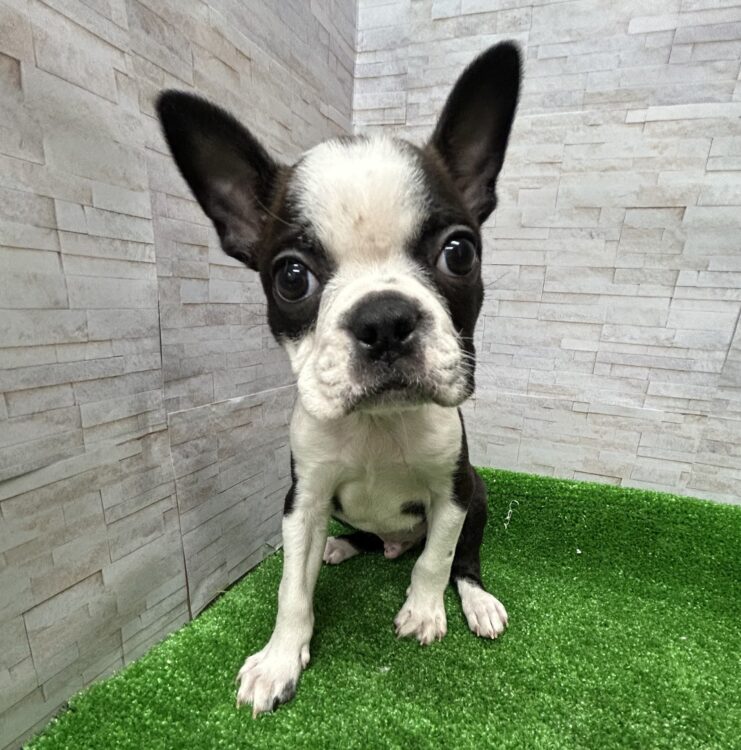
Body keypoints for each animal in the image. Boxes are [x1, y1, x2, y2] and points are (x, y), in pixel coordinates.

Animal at [157, 41, 521, 717]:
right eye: (291, 276)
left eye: (460, 253)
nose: (384, 319)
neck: (376, 424)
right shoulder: (304, 498)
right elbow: (291, 591)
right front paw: (280, 659)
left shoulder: (453, 490)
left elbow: (436, 559)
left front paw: (423, 612)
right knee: (369, 542)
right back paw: (343, 546)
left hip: (479, 493)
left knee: (460, 558)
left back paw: (475, 601)